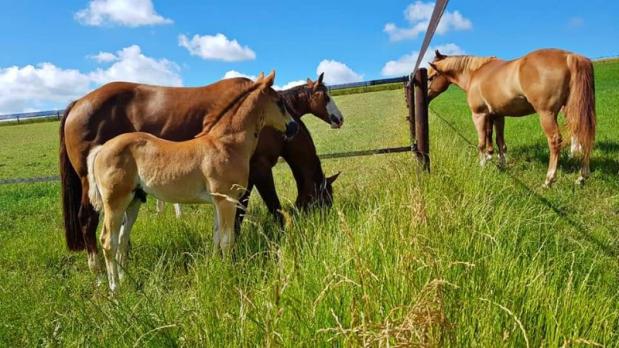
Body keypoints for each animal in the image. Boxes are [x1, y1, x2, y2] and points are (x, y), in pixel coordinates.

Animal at [60, 73, 296, 274]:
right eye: (279, 102)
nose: (293, 127)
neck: (225, 143)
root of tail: (101, 149)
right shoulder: (226, 200)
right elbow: (227, 241)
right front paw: (229, 272)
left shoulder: (218, 202)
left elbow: (217, 236)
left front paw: (215, 268)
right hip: (113, 202)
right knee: (106, 239)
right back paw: (111, 287)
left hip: (131, 201)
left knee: (120, 240)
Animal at [428, 48, 600, 188]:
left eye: (430, 77)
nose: (425, 97)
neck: (475, 74)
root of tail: (570, 56)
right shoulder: (498, 115)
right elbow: (500, 141)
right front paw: (501, 164)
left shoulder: (479, 115)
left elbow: (482, 143)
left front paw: (482, 165)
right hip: (574, 110)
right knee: (583, 134)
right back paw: (582, 177)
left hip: (547, 114)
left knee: (555, 141)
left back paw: (549, 180)